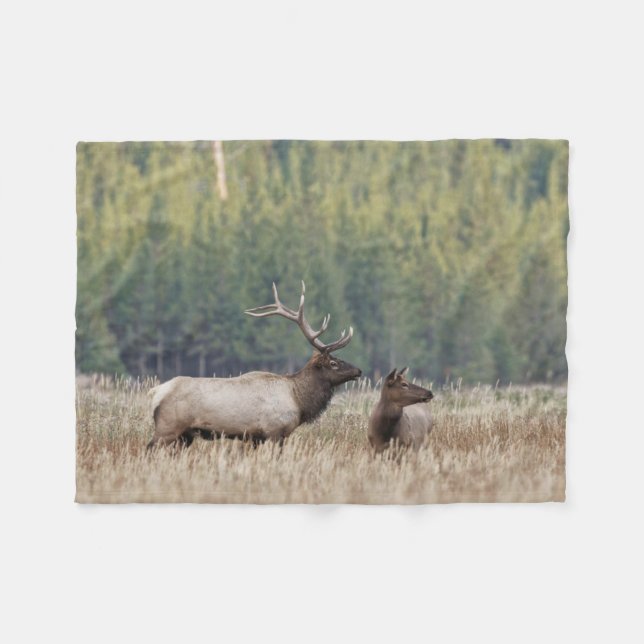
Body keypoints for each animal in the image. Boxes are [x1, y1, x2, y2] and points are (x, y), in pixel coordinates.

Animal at [147, 282, 361, 449]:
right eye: (334, 363)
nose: (358, 370)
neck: (298, 400)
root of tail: (156, 392)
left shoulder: (255, 438)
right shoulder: (275, 432)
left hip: (185, 435)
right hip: (168, 428)